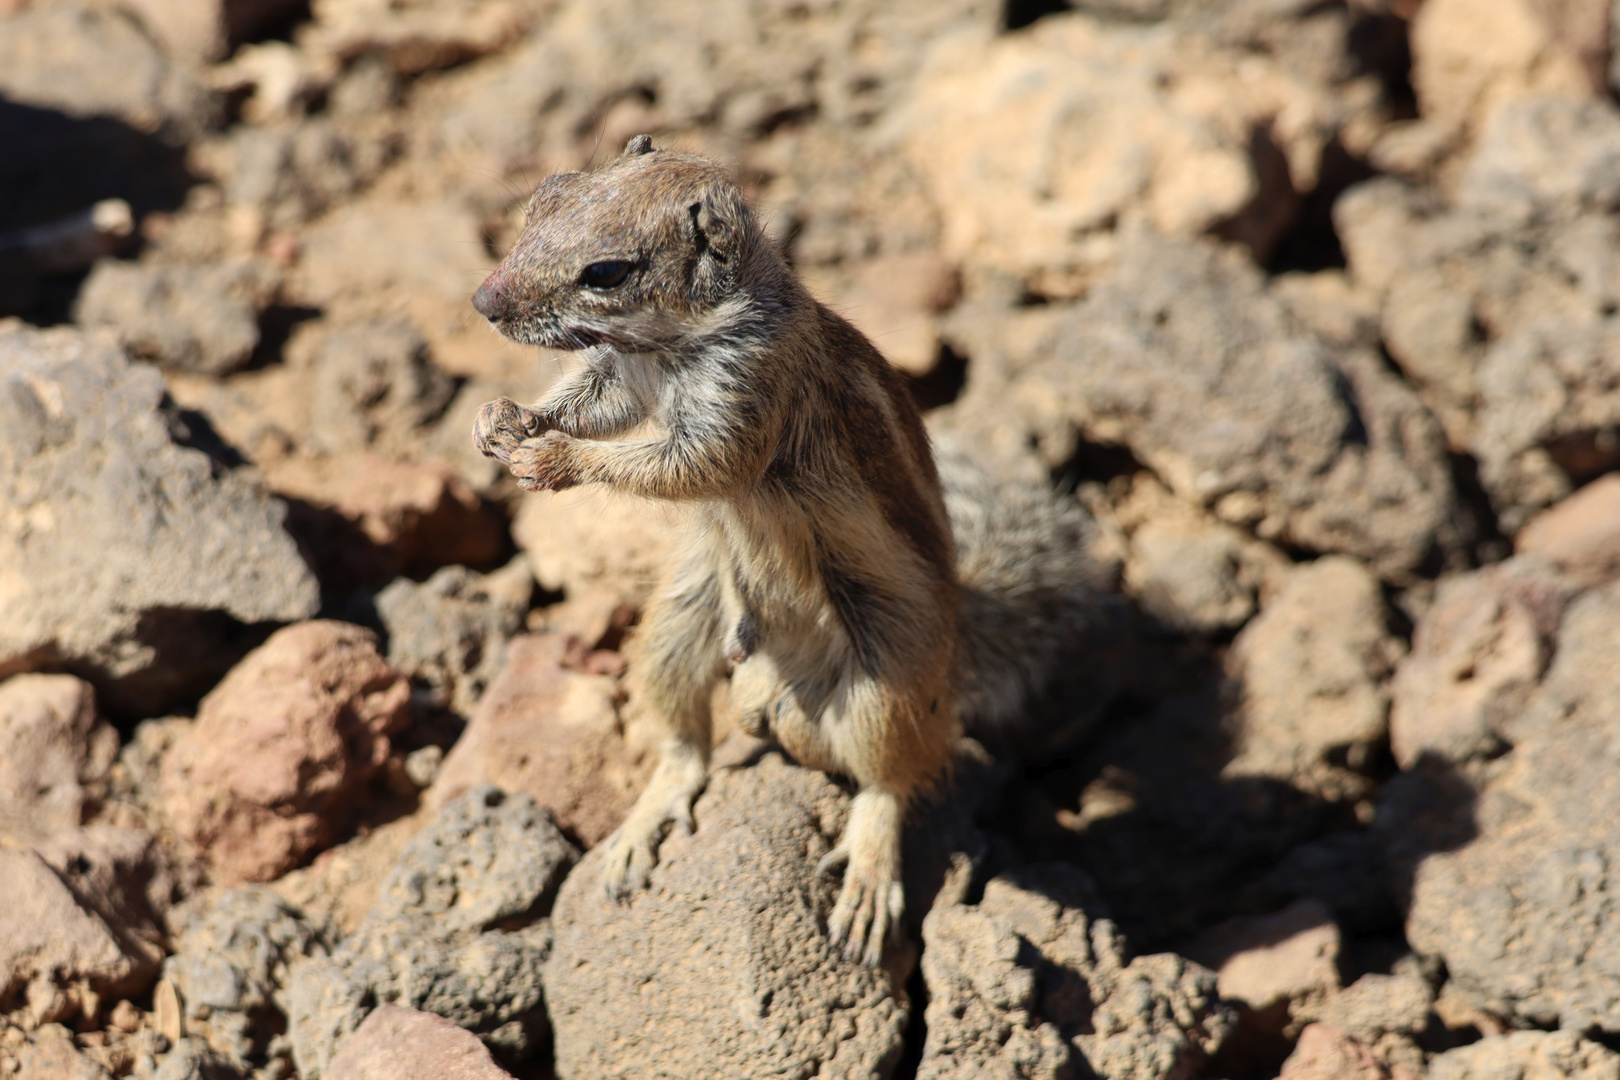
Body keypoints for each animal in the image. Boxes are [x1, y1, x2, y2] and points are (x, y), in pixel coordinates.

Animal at [473, 132, 1095, 965]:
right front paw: (505, 418)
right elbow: (600, 406)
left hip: (885, 677)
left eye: (607, 272)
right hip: (682, 619)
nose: (484, 303)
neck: (671, 343)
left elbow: (695, 465)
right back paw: (645, 821)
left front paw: (556, 457)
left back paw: (867, 874)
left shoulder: (747, 391)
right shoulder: (624, 375)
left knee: (889, 777)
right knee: (686, 739)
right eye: (549, 192)